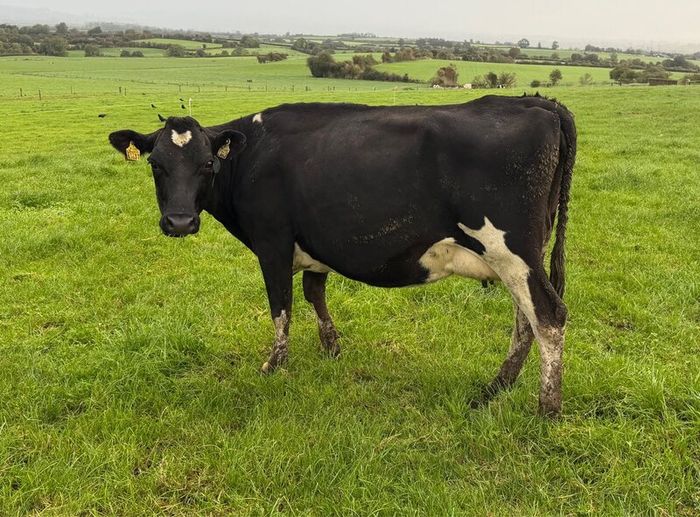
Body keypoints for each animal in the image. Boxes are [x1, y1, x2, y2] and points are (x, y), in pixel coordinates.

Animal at [109, 94, 576, 416]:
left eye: (207, 163)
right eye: (155, 164)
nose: (180, 222)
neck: (252, 154)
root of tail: (534, 102)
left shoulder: (273, 243)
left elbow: (281, 307)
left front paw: (274, 366)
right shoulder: (318, 243)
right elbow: (314, 292)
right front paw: (331, 348)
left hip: (511, 249)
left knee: (548, 316)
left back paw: (546, 408)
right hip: (520, 256)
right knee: (525, 319)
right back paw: (496, 388)